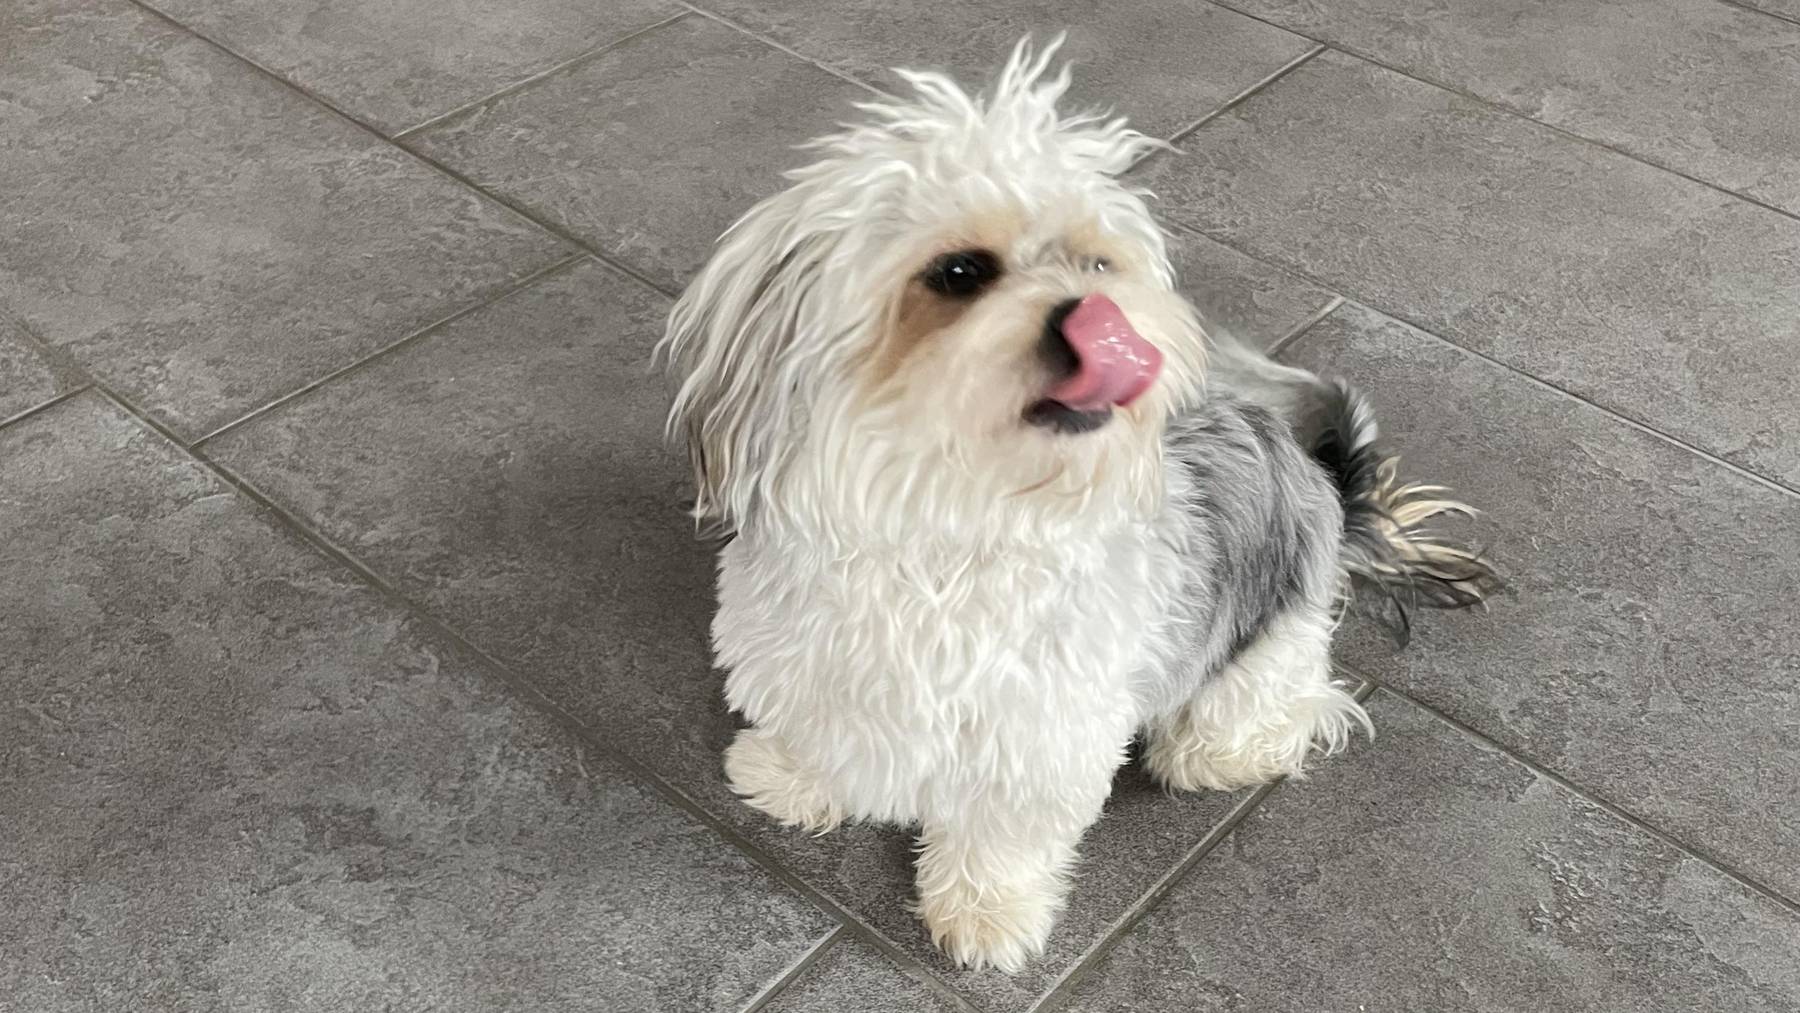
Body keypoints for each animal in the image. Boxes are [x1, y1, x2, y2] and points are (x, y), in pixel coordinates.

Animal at [659, 37, 1494, 971]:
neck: (957, 511)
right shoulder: (807, 654)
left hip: (1258, 664)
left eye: (1099, 262)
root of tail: (1324, 488)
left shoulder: (1044, 729)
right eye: (960, 272)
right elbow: (818, 728)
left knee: (1279, 719)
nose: (1110, 321)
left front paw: (986, 914)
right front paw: (793, 776)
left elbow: (1003, 832)